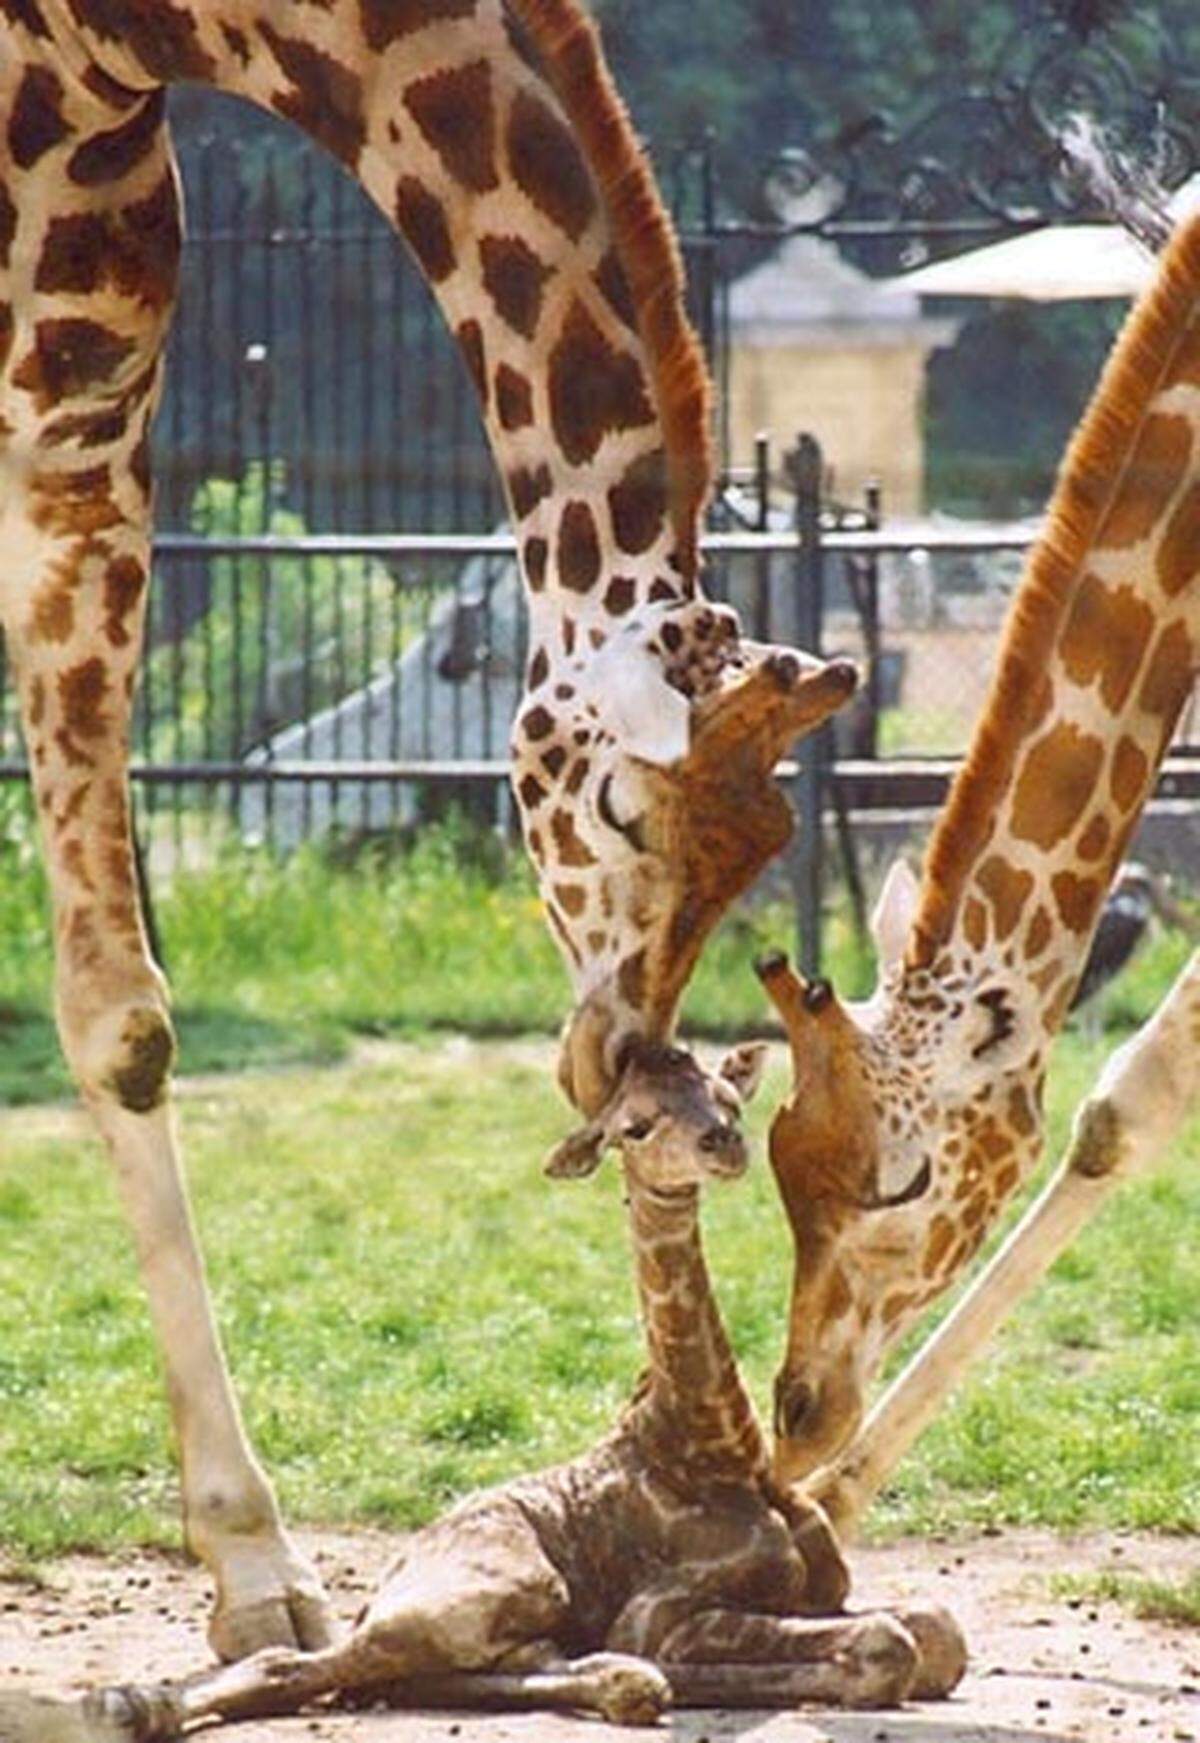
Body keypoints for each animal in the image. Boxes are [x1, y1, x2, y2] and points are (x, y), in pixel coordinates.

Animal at [0, 0, 854, 1659]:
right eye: (618, 799)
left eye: (772, 839)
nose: (621, 1066)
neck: (119, 41)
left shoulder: (71, 405)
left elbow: (122, 1016)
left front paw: (254, 1569)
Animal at [0, 1038, 962, 1736]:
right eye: (635, 1125)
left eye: (729, 1100)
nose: (721, 1143)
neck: (713, 1440)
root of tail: (399, 1567)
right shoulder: (666, 1608)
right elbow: (884, 1645)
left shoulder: (824, 1587)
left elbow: (937, 1635)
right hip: (502, 1585)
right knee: (308, 1663)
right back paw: (128, 1704)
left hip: (510, 1616)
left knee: (448, 1672)